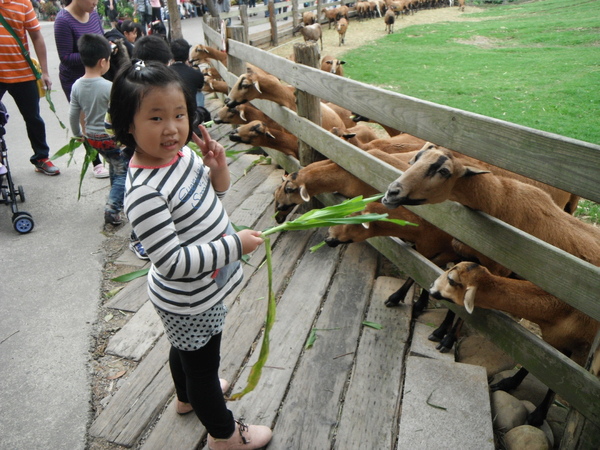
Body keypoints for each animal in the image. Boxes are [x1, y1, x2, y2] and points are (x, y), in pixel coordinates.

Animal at [428, 260, 596, 426]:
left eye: (451, 280)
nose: (430, 287)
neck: (562, 310)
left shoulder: (582, 353)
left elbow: (562, 384)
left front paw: (538, 416)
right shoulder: (553, 342)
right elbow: (536, 365)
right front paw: (508, 383)